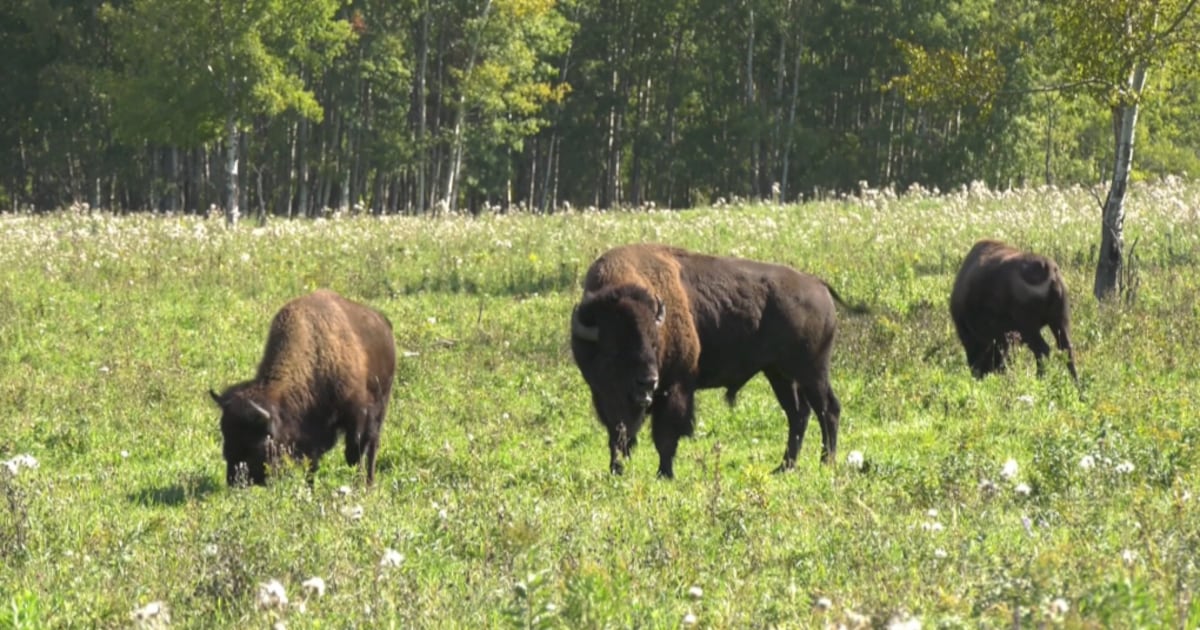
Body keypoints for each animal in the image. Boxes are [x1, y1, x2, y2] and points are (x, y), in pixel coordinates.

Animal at [210, 289, 396, 486]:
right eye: (225, 433)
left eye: (257, 442)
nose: (234, 480)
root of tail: (384, 323)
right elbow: (312, 463)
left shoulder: (356, 415)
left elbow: (354, 454)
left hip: (380, 408)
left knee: (372, 446)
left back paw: (369, 482)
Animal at [570, 244, 861, 478]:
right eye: (615, 348)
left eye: (654, 342)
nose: (648, 381)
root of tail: (817, 284)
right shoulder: (605, 398)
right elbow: (617, 434)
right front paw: (616, 470)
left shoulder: (676, 387)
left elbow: (666, 435)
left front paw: (665, 474)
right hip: (780, 374)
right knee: (799, 414)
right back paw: (784, 467)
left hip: (812, 371)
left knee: (828, 409)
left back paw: (826, 463)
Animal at [950, 239, 1078, 381]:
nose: (980, 375)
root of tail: (1048, 269)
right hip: (1059, 322)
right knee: (1066, 348)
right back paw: (1076, 383)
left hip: (1030, 329)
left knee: (1043, 350)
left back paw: (1040, 378)